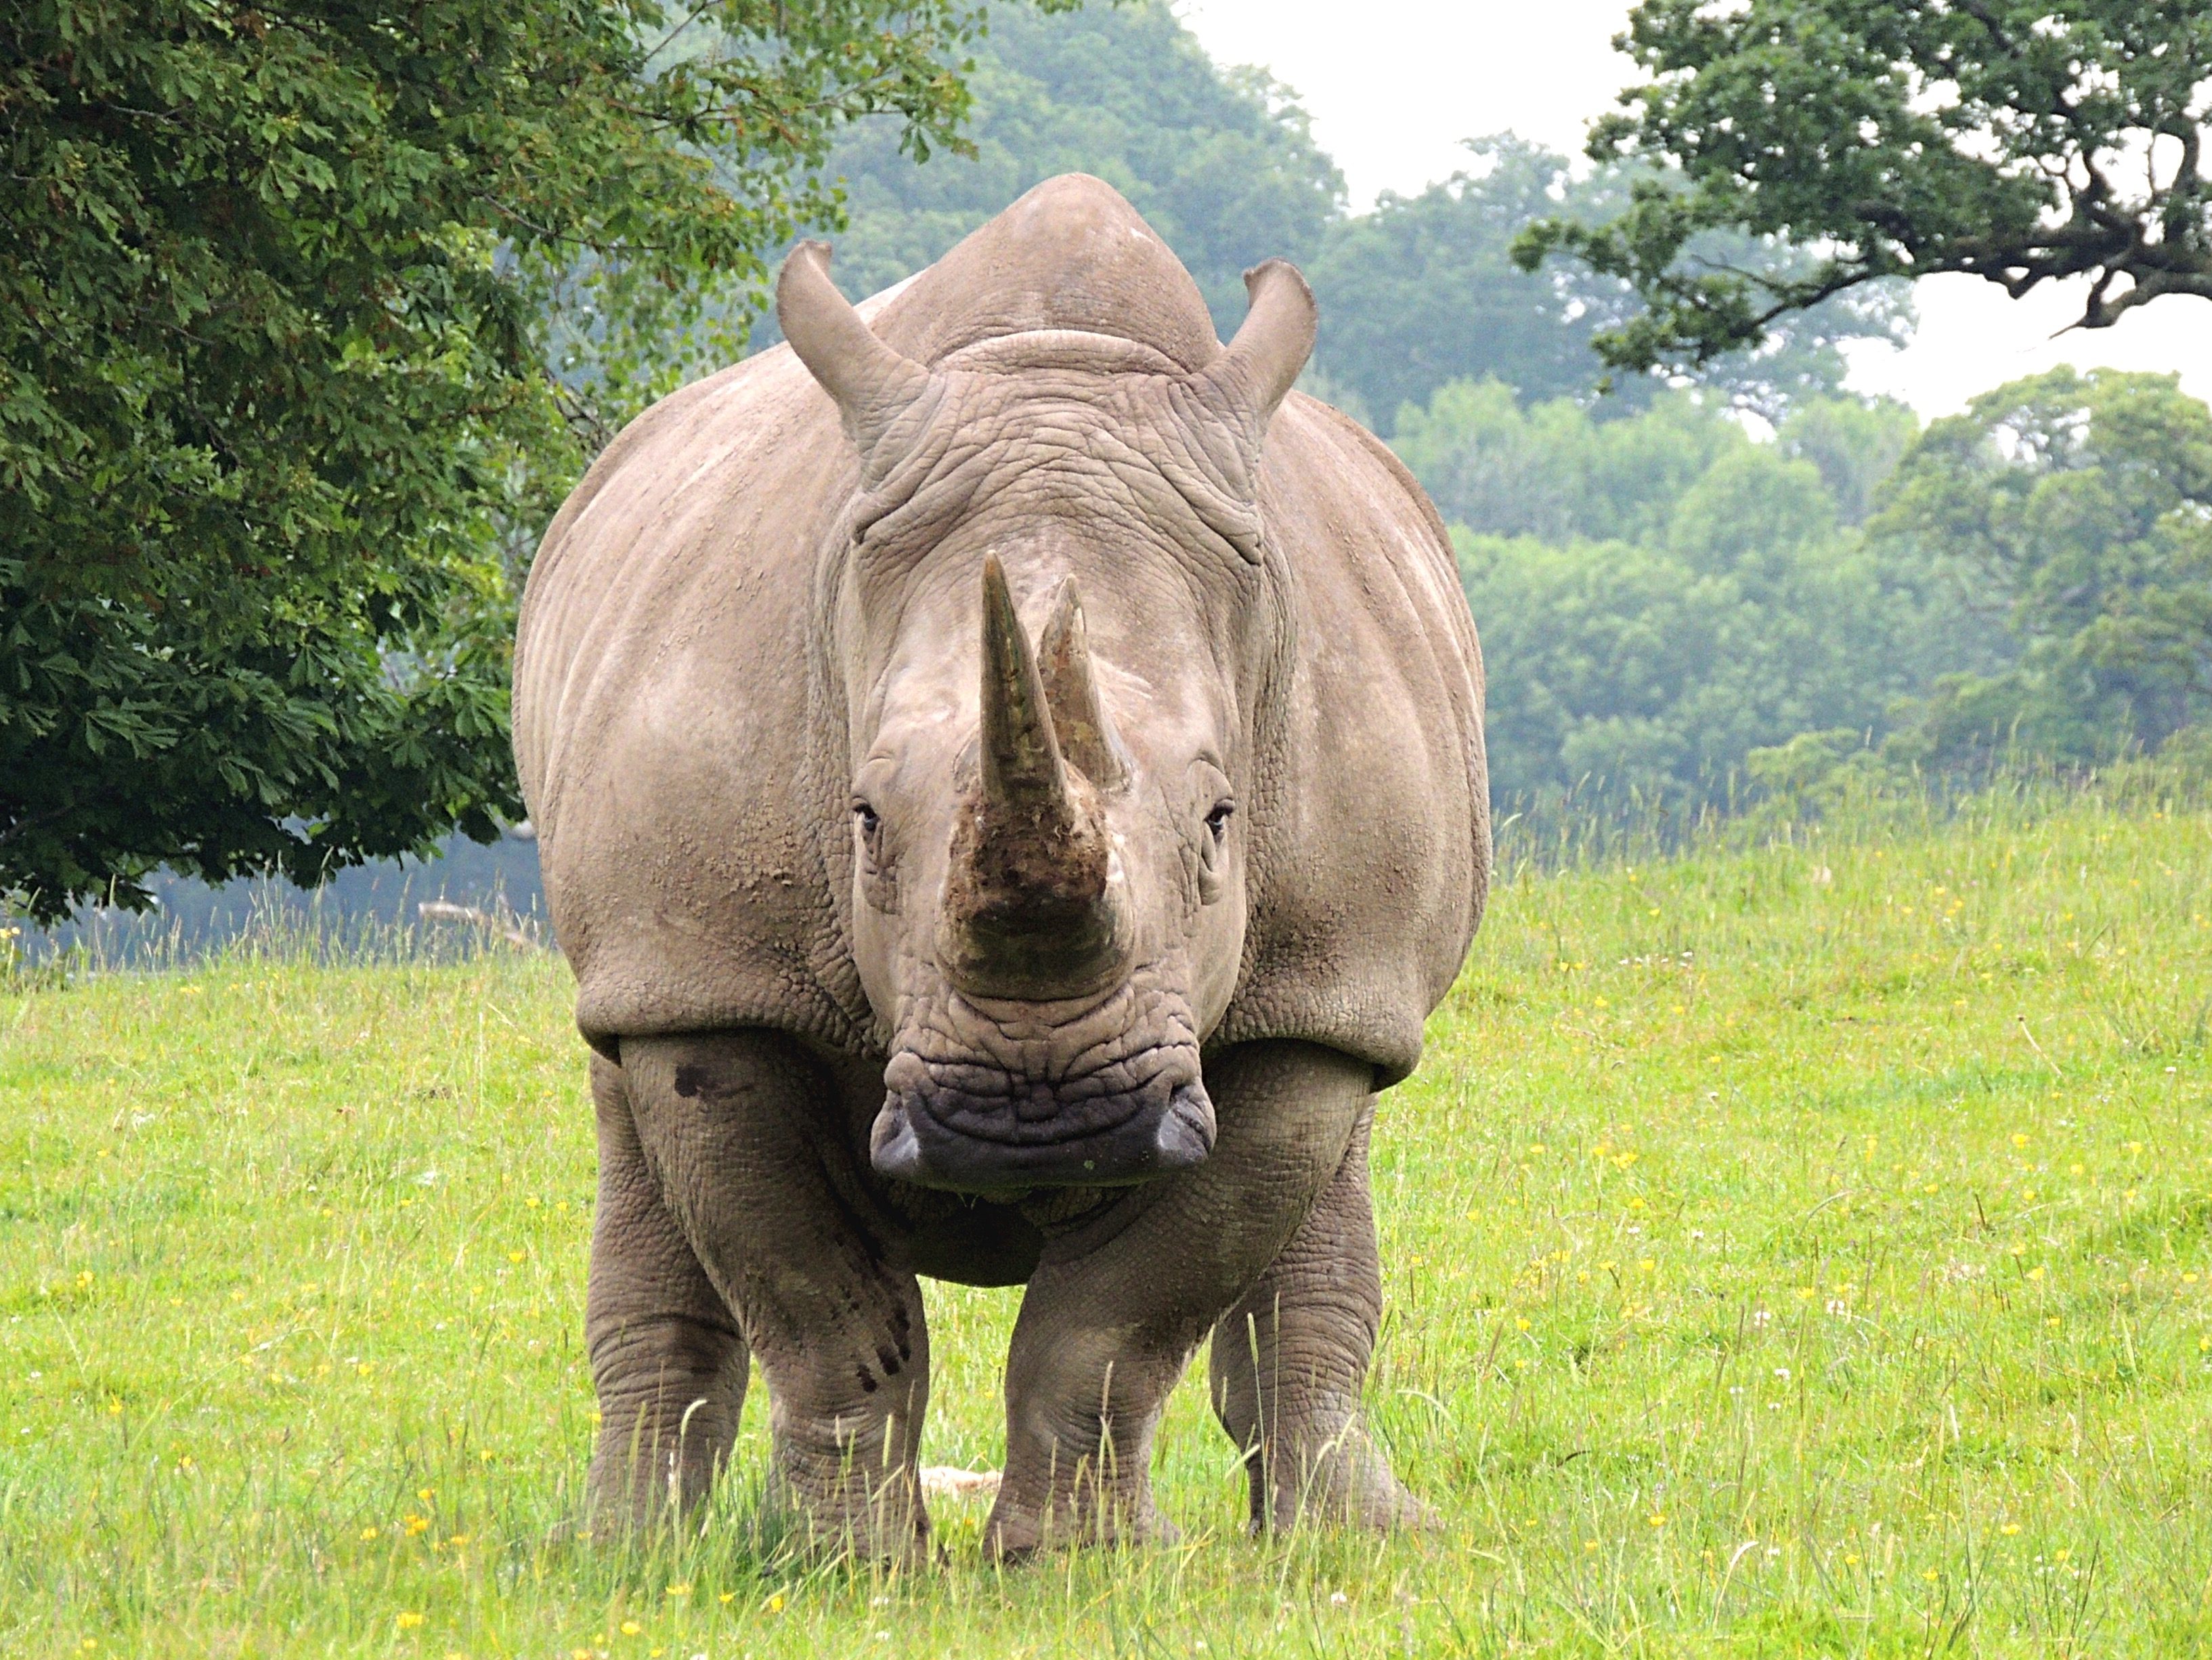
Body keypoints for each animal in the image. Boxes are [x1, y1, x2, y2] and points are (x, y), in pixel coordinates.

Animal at [513, 175, 1487, 1558]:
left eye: (1219, 821)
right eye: (863, 818)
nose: (1043, 1117)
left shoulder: (1320, 989)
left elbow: (1115, 1323)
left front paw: (1080, 1564)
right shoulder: (707, 979)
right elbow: (825, 1313)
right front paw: (848, 1566)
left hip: (1349, 978)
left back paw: (1363, 1541)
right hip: (640, 956)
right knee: (624, 1105)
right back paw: (621, 1553)